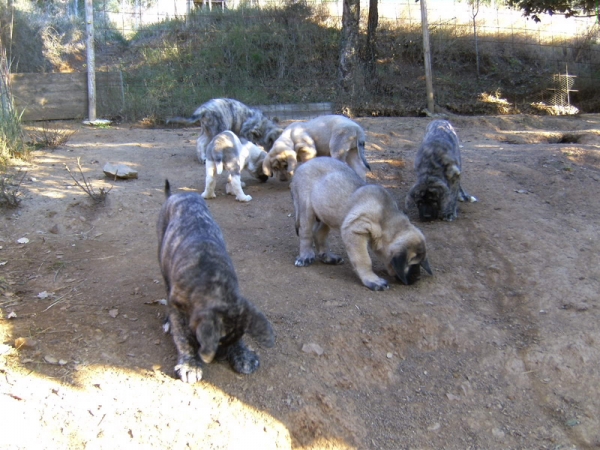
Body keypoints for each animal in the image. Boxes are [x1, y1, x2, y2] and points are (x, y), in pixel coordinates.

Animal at [157, 180, 274, 384]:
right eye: (218, 340)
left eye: (235, 339)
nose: (220, 357)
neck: (213, 282)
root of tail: (176, 195)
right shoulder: (178, 307)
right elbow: (183, 337)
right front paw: (190, 364)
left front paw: (243, 354)